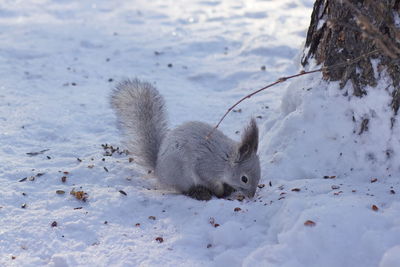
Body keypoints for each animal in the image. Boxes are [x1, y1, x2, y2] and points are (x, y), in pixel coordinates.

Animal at [110, 79, 260, 201]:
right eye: (244, 179)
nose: (251, 196)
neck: (225, 160)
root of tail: (159, 171)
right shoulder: (205, 168)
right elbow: (210, 182)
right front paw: (220, 192)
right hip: (181, 174)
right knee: (183, 190)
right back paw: (198, 193)